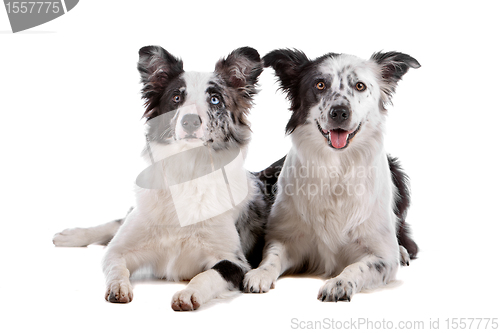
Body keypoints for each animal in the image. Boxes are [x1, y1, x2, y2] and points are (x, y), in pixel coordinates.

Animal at [244, 48, 420, 300]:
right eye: (320, 84)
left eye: (360, 86)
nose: (339, 112)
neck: (336, 169)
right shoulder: (287, 239)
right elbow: (272, 257)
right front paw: (260, 273)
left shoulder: (382, 257)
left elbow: (358, 266)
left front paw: (340, 283)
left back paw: (404, 251)